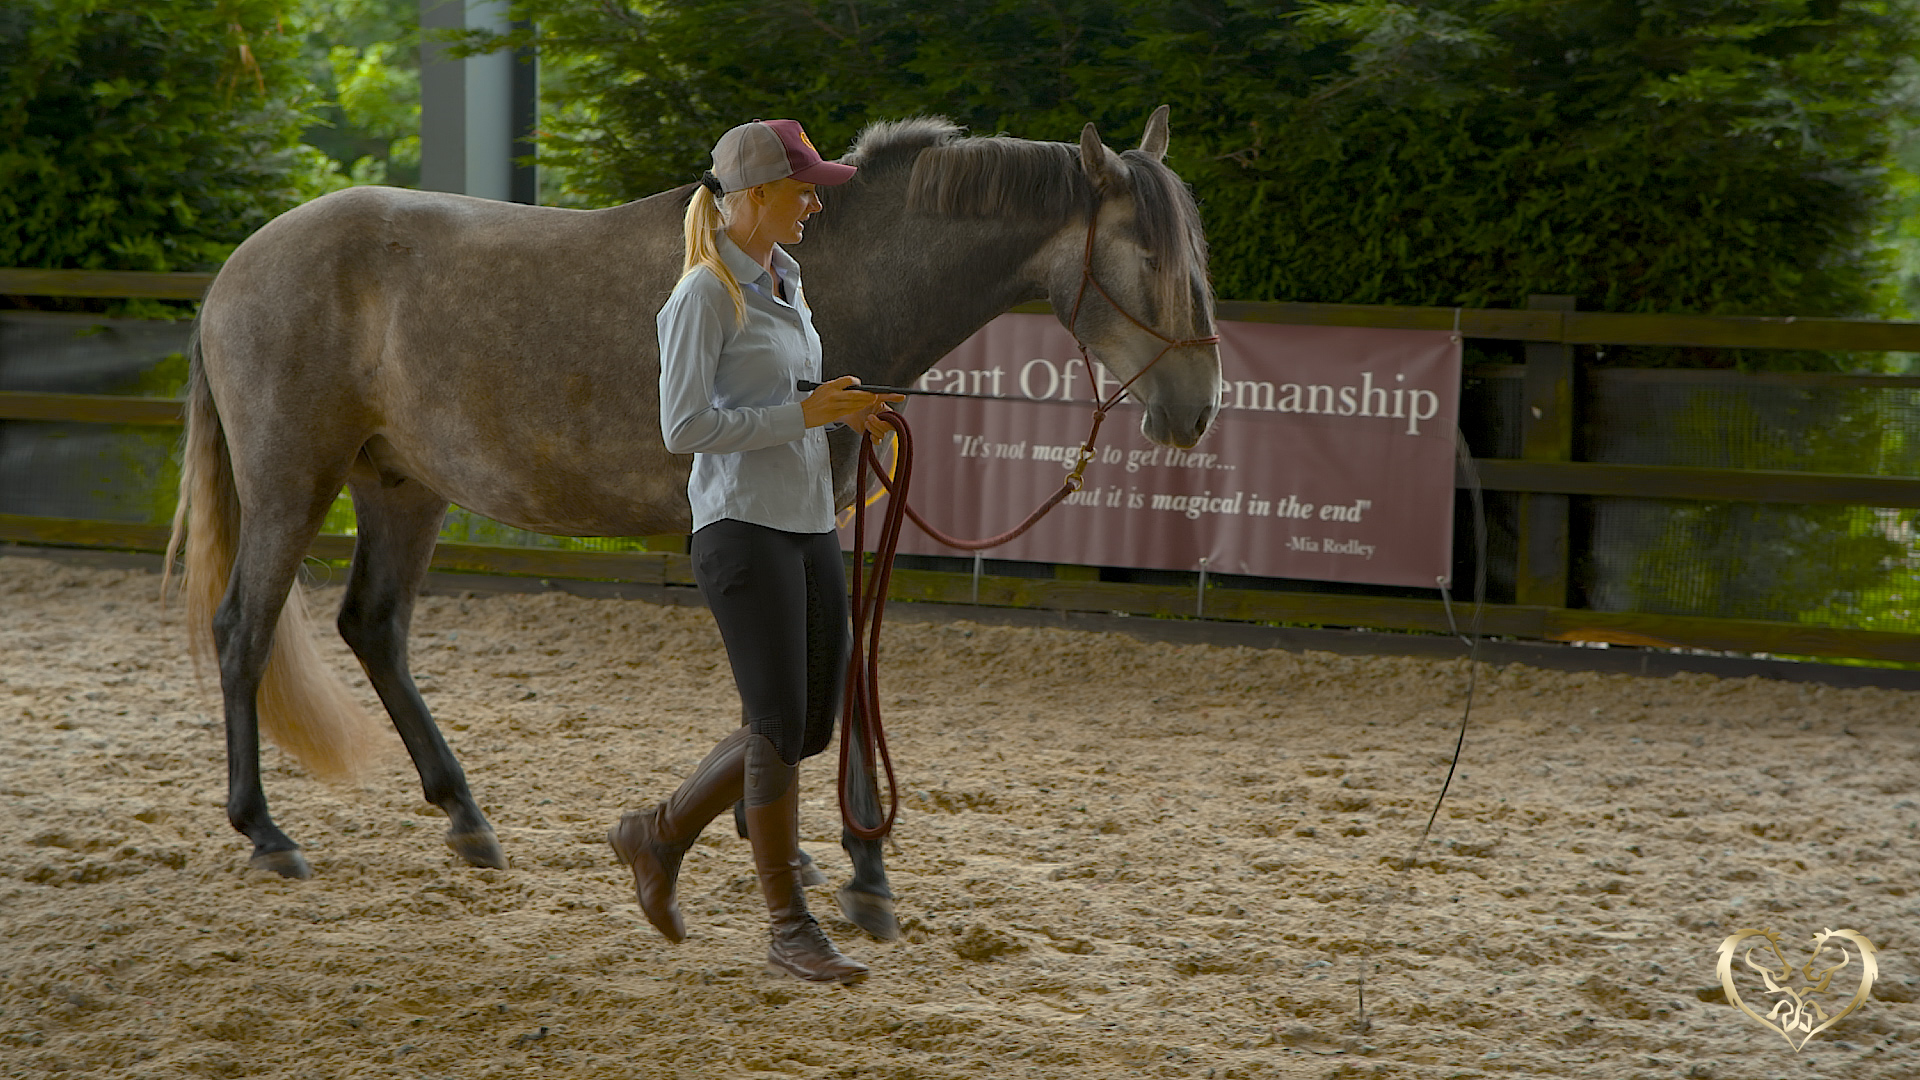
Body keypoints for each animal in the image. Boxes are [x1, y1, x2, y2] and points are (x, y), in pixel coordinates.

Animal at [165, 107, 1220, 941]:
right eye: (1150, 256)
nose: (1198, 408)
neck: (843, 280)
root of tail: (238, 268)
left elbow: (803, 689)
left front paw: (794, 849)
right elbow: (805, 688)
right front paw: (850, 872)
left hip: (403, 486)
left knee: (374, 628)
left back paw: (466, 818)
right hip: (292, 480)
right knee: (244, 631)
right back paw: (266, 833)